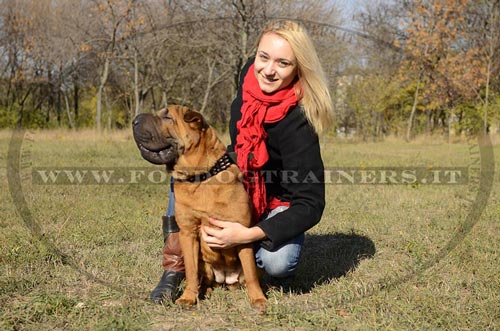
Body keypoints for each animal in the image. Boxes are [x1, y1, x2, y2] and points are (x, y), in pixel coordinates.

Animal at [131, 105, 268, 312]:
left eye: (168, 117)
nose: (135, 120)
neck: (200, 176)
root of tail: (225, 279)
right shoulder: (187, 233)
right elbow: (190, 271)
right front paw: (188, 298)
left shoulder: (242, 232)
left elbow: (251, 272)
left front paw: (259, 299)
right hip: (206, 265)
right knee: (204, 279)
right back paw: (205, 291)